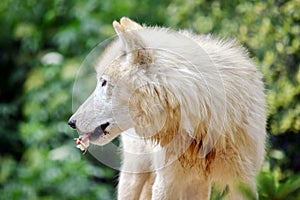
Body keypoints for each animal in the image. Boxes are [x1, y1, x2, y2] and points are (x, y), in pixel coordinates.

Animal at [69, 17, 266, 200]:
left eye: (104, 82)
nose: (71, 122)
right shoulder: (166, 182)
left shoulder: (244, 181)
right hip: (135, 175)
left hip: (197, 184)